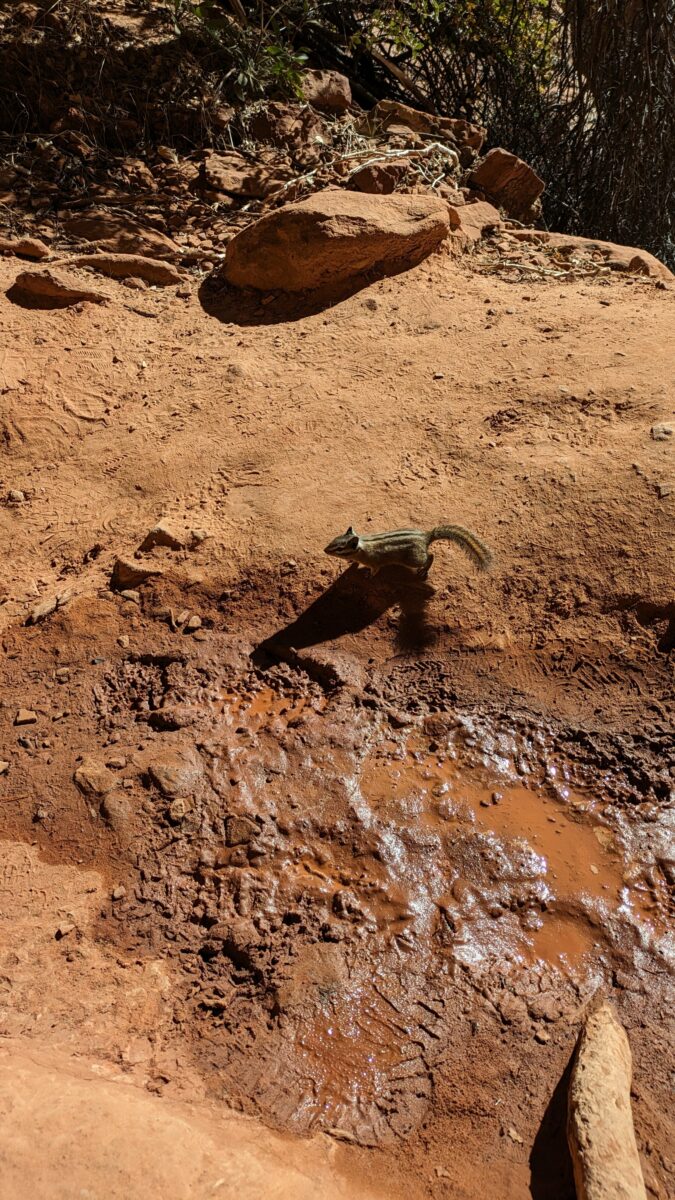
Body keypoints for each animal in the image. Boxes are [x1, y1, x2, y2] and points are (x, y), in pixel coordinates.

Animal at [324, 524, 492, 579]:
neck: (361, 547)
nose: (325, 550)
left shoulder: (375, 563)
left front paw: (368, 575)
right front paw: (351, 561)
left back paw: (424, 570)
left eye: (339, 548)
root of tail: (426, 537)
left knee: (431, 556)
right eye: (334, 540)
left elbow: (374, 570)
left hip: (413, 559)